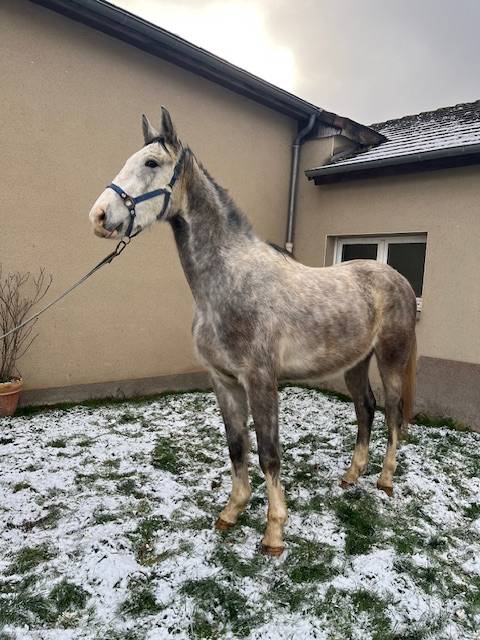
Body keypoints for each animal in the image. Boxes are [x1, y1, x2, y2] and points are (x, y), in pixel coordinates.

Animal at [89, 107, 417, 556]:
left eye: (152, 163)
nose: (99, 216)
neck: (229, 283)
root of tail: (399, 279)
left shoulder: (261, 380)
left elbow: (268, 454)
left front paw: (274, 532)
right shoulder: (224, 382)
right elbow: (237, 447)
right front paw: (231, 512)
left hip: (390, 359)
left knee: (393, 413)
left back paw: (384, 480)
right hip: (354, 363)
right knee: (365, 409)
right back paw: (352, 476)